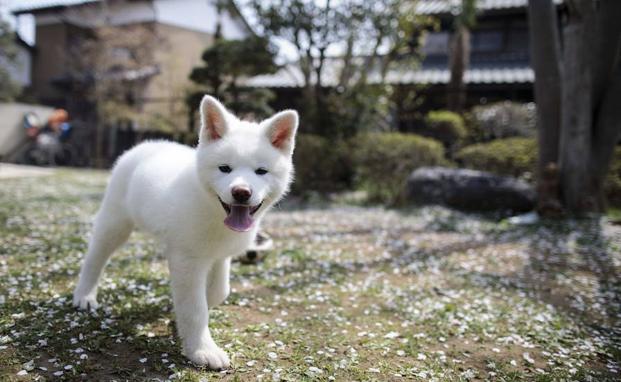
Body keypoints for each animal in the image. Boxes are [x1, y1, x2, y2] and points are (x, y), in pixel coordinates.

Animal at [71, 95, 300, 370]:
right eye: (225, 168)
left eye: (261, 171)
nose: (241, 193)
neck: (213, 212)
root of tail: (147, 145)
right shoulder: (187, 261)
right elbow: (194, 308)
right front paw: (202, 350)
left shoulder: (219, 255)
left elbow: (219, 291)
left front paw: (190, 314)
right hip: (115, 222)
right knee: (95, 257)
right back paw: (84, 295)